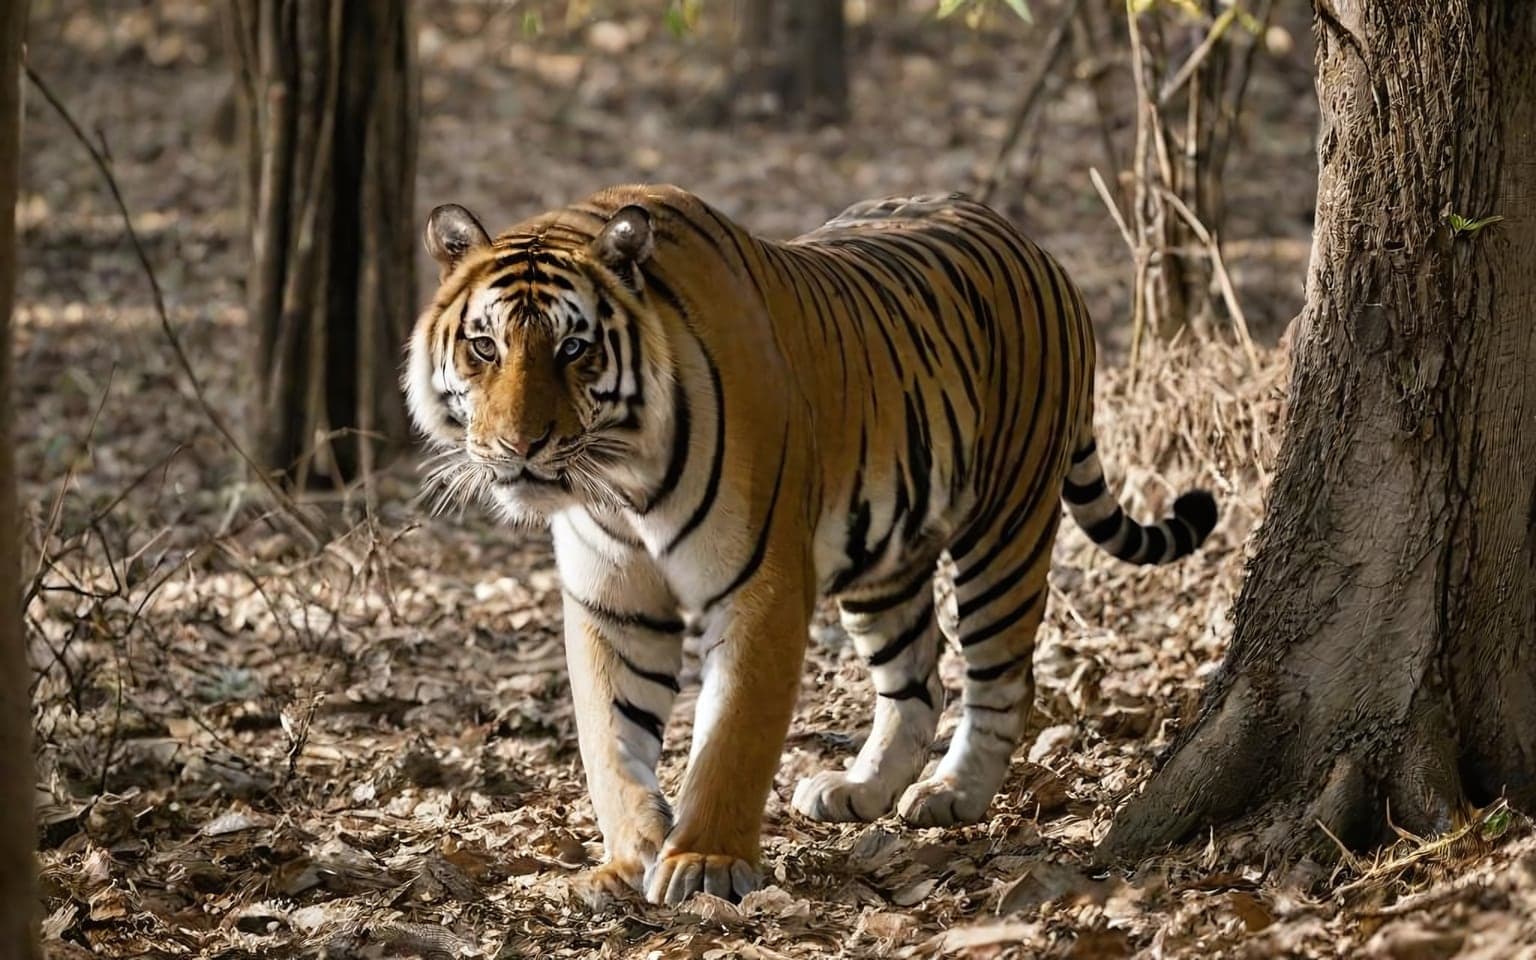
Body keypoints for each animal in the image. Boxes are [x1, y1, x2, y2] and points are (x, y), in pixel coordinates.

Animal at [403, 184, 1217, 906]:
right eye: (484, 346)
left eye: (574, 348)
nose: (520, 447)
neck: (617, 480)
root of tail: (1039, 249)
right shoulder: (613, 601)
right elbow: (610, 740)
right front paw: (630, 858)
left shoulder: (760, 583)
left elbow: (734, 733)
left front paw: (704, 862)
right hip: (885, 557)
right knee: (917, 680)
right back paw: (860, 789)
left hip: (1006, 528)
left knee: (1003, 677)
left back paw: (953, 792)